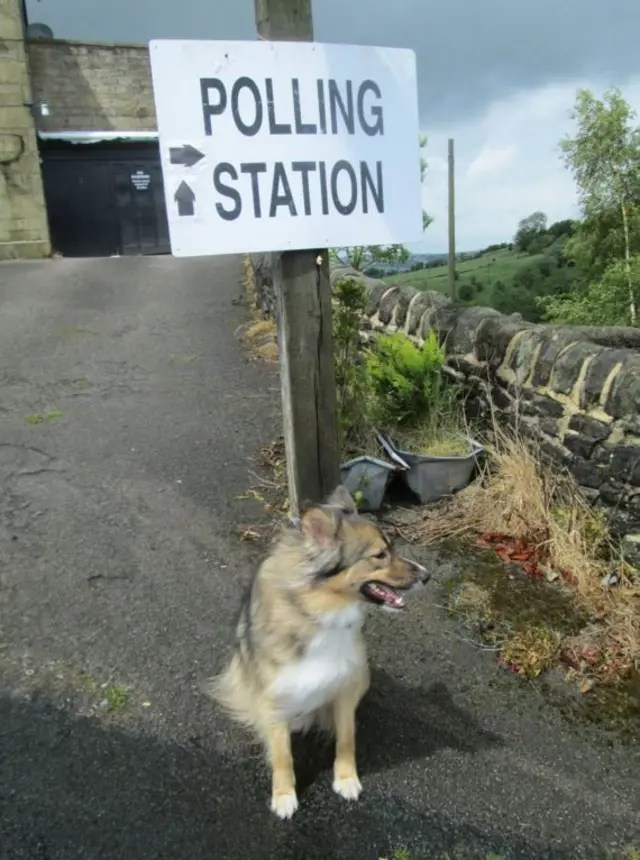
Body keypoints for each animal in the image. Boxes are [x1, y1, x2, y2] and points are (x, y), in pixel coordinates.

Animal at [208, 484, 432, 820]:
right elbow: (283, 756)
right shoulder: (275, 700)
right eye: (379, 555)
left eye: (390, 549)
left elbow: (347, 739)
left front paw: (346, 779)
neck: (321, 611)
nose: (427, 575)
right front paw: (284, 796)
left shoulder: (346, 686)